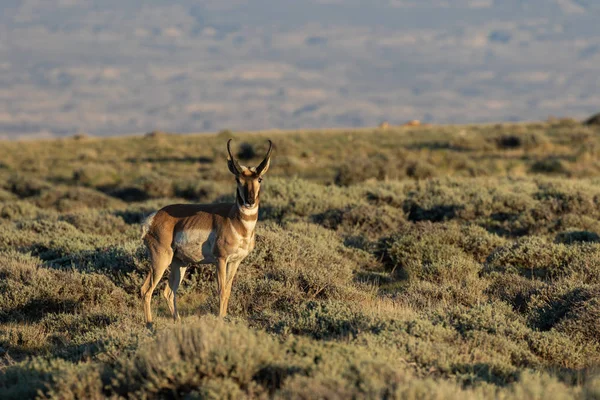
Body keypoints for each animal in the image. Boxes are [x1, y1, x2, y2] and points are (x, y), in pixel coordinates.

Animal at [138, 139, 272, 326]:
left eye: (259, 178)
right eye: (237, 179)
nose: (250, 201)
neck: (234, 219)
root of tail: (154, 217)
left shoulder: (235, 262)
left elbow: (228, 291)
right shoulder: (220, 260)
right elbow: (221, 291)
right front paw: (221, 320)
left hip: (179, 263)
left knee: (168, 292)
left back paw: (178, 322)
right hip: (161, 260)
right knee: (146, 290)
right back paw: (150, 325)